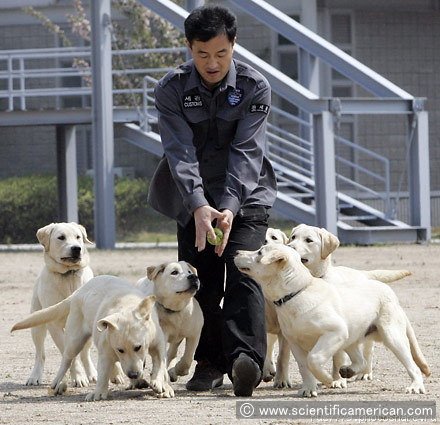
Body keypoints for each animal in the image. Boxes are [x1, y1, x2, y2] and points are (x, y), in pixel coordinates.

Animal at [12, 274, 174, 400]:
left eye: (138, 347)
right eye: (120, 350)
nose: (133, 374)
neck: (126, 307)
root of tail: (79, 291)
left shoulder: (158, 345)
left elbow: (160, 365)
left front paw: (159, 383)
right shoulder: (106, 352)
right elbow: (102, 373)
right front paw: (99, 393)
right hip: (74, 341)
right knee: (67, 359)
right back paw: (58, 381)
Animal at [25, 222, 94, 388]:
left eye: (78, 237)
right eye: (61, 237)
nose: (76, 248)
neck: (68, 275)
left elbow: (83, 352)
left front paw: (88, 375)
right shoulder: (54, 325)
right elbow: (69, 354)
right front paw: (79, 377)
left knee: (85, 352)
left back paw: (92, 374)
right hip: (37, 326)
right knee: (40, 354)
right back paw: (35, 376)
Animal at [234, 243, 430, 396]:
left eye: (260, 252)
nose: (236, 252)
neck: (297, 293)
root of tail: (387, 289)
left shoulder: (334, 332)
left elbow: (314, 359)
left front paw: (328, 380)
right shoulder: (294, 342)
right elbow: (304, 367)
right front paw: (309, 388)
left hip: (392, 337)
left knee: (412, 366)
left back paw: (415, 386)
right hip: (350, 339)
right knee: (361, 361)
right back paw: (348, 370)